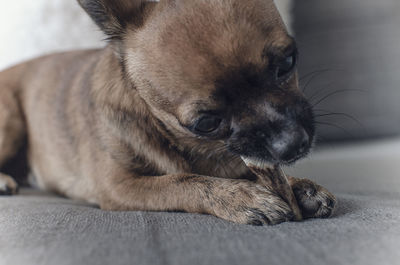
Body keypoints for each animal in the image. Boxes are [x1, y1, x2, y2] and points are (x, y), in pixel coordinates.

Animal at [0, 0, 336, 225]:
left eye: (288, 63)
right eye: (206, 123)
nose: (292, 143)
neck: (200, 149)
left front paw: (301, 187)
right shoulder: (120, 186)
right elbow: (181, 182)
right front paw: (240, 197)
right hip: (11, 123)